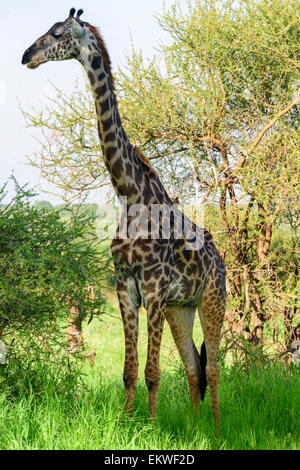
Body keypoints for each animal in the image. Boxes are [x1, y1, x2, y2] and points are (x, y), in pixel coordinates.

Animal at [22, 8, 226, 430]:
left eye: (57, 33)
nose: (26, 56)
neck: (130, 195)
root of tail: (222, 260)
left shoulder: (154, 289)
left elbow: (152, 373)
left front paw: (150, 427)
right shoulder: (125, 288)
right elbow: (130, 372)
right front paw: (129, 423)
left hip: (214, 300)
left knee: (213, 368)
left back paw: (216, 430)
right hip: (183, 308)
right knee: (194, 368)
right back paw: (196, 426)